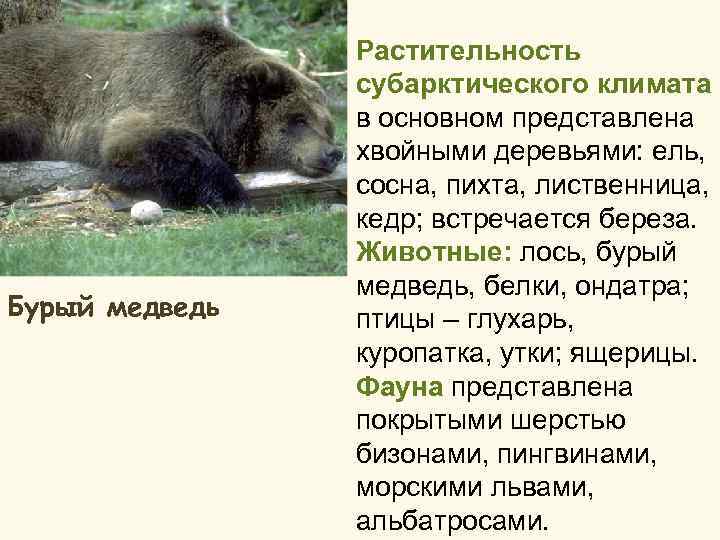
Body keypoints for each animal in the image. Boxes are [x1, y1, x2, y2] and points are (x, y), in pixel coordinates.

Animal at [0, 22, 343, 209]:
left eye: (327, 125)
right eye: (298, 119)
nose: (332, 153)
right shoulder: (160, 94)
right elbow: (162, 147)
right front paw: (235, 197)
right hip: (26, 92)